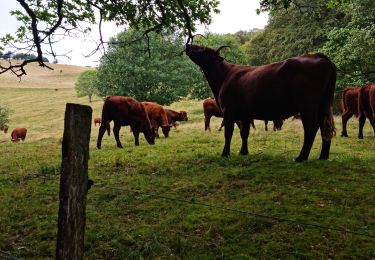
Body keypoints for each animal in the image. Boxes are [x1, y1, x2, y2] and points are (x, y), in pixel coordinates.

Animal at [188, 45, 338, 162]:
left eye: (203, 49)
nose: (188, 45)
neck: (225, 75)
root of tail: (316, 56)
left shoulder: (229, 112)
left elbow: (228, 133)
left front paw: (225, 154)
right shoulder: (245, 115)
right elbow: (244, 133)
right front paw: (244, 152)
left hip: (307, 106)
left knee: (312, 127)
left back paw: (301, 157)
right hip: (323, 104)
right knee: (326, 125)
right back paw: (323, 156)